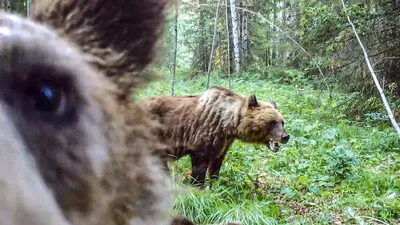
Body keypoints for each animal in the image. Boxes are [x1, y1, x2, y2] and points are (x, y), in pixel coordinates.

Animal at [139, 86, 290, 186]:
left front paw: (214, 183)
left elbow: (216, 163)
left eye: (282, 122)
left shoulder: (223, 142)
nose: (285, 136)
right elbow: (199, 167)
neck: (228, 123)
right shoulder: (202, 138)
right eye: (272, 122)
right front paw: (198, 186)